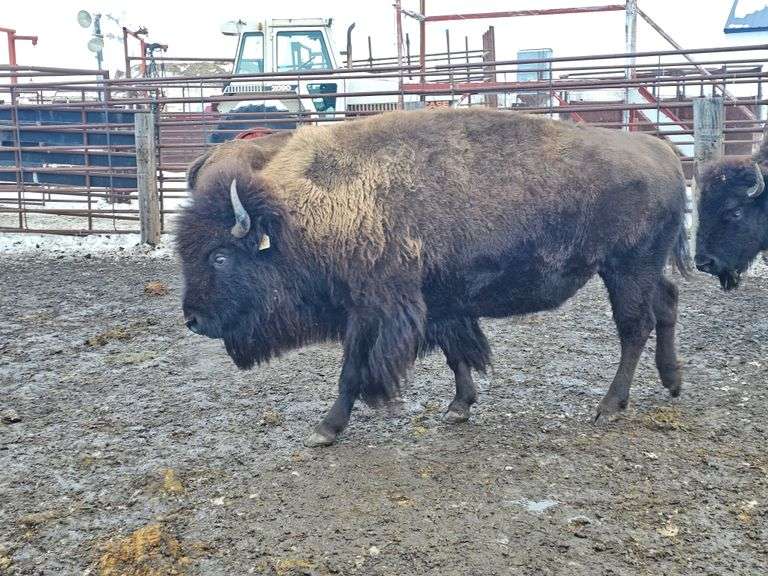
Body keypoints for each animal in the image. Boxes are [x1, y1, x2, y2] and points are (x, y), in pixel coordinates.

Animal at [177, 107, 690, 447]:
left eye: (220, 257)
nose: (193, 319)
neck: (307, 213)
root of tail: (662, 149)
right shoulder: (437, 303)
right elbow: (455, 352)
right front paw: (459, 407)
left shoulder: (374, 309)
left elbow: (352, 369)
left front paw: (325, 428)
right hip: (640, 269)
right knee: (666, 303)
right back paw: (672, 382)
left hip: (626, 268)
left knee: (634, 328)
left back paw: (608, 408)